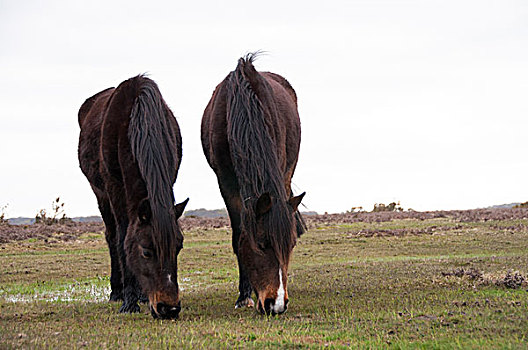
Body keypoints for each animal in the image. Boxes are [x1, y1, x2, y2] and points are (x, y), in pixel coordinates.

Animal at [77, 75, 187, 318]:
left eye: (179, 247)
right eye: (146, 251)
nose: (169, 308)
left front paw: (142, 296)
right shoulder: (115, 190)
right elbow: (122, 238)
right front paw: (129, 302)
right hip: (101, 196)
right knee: (111, 237)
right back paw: (117, 292)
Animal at [201, 54, 306, 314]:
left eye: (291, 245)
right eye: (261, 243)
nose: (276, 304)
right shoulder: (226, 183)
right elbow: (239, 234)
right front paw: (243, 296)